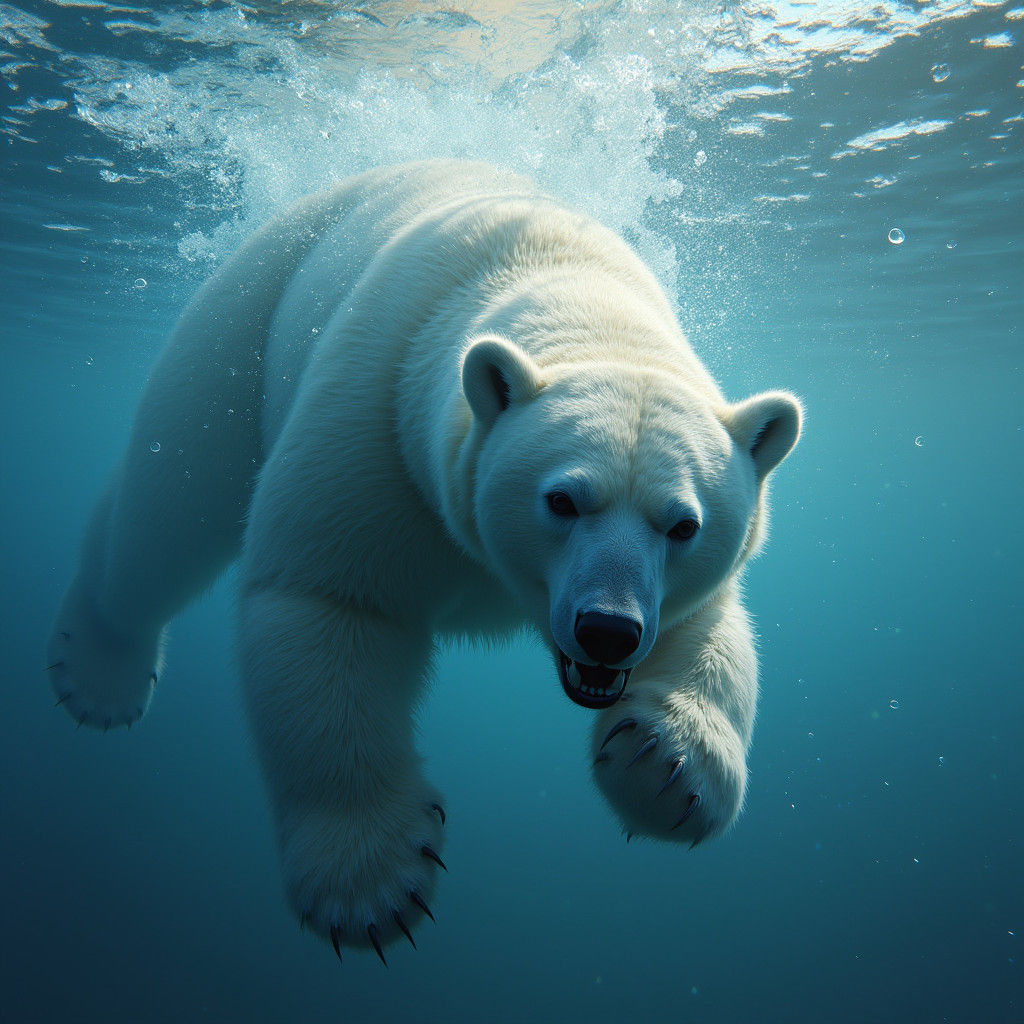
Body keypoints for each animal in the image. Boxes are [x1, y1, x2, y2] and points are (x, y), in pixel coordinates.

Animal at [46, 160, 801, 961]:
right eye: (562, 500)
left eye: (683, 524)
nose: (607, 631)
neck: (572, 282)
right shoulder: (380, 417)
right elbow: (326, 602)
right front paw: (370, 883)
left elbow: (710, 627)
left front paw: (667, 768)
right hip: (245, 319)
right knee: (171, 507)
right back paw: (98, 670)